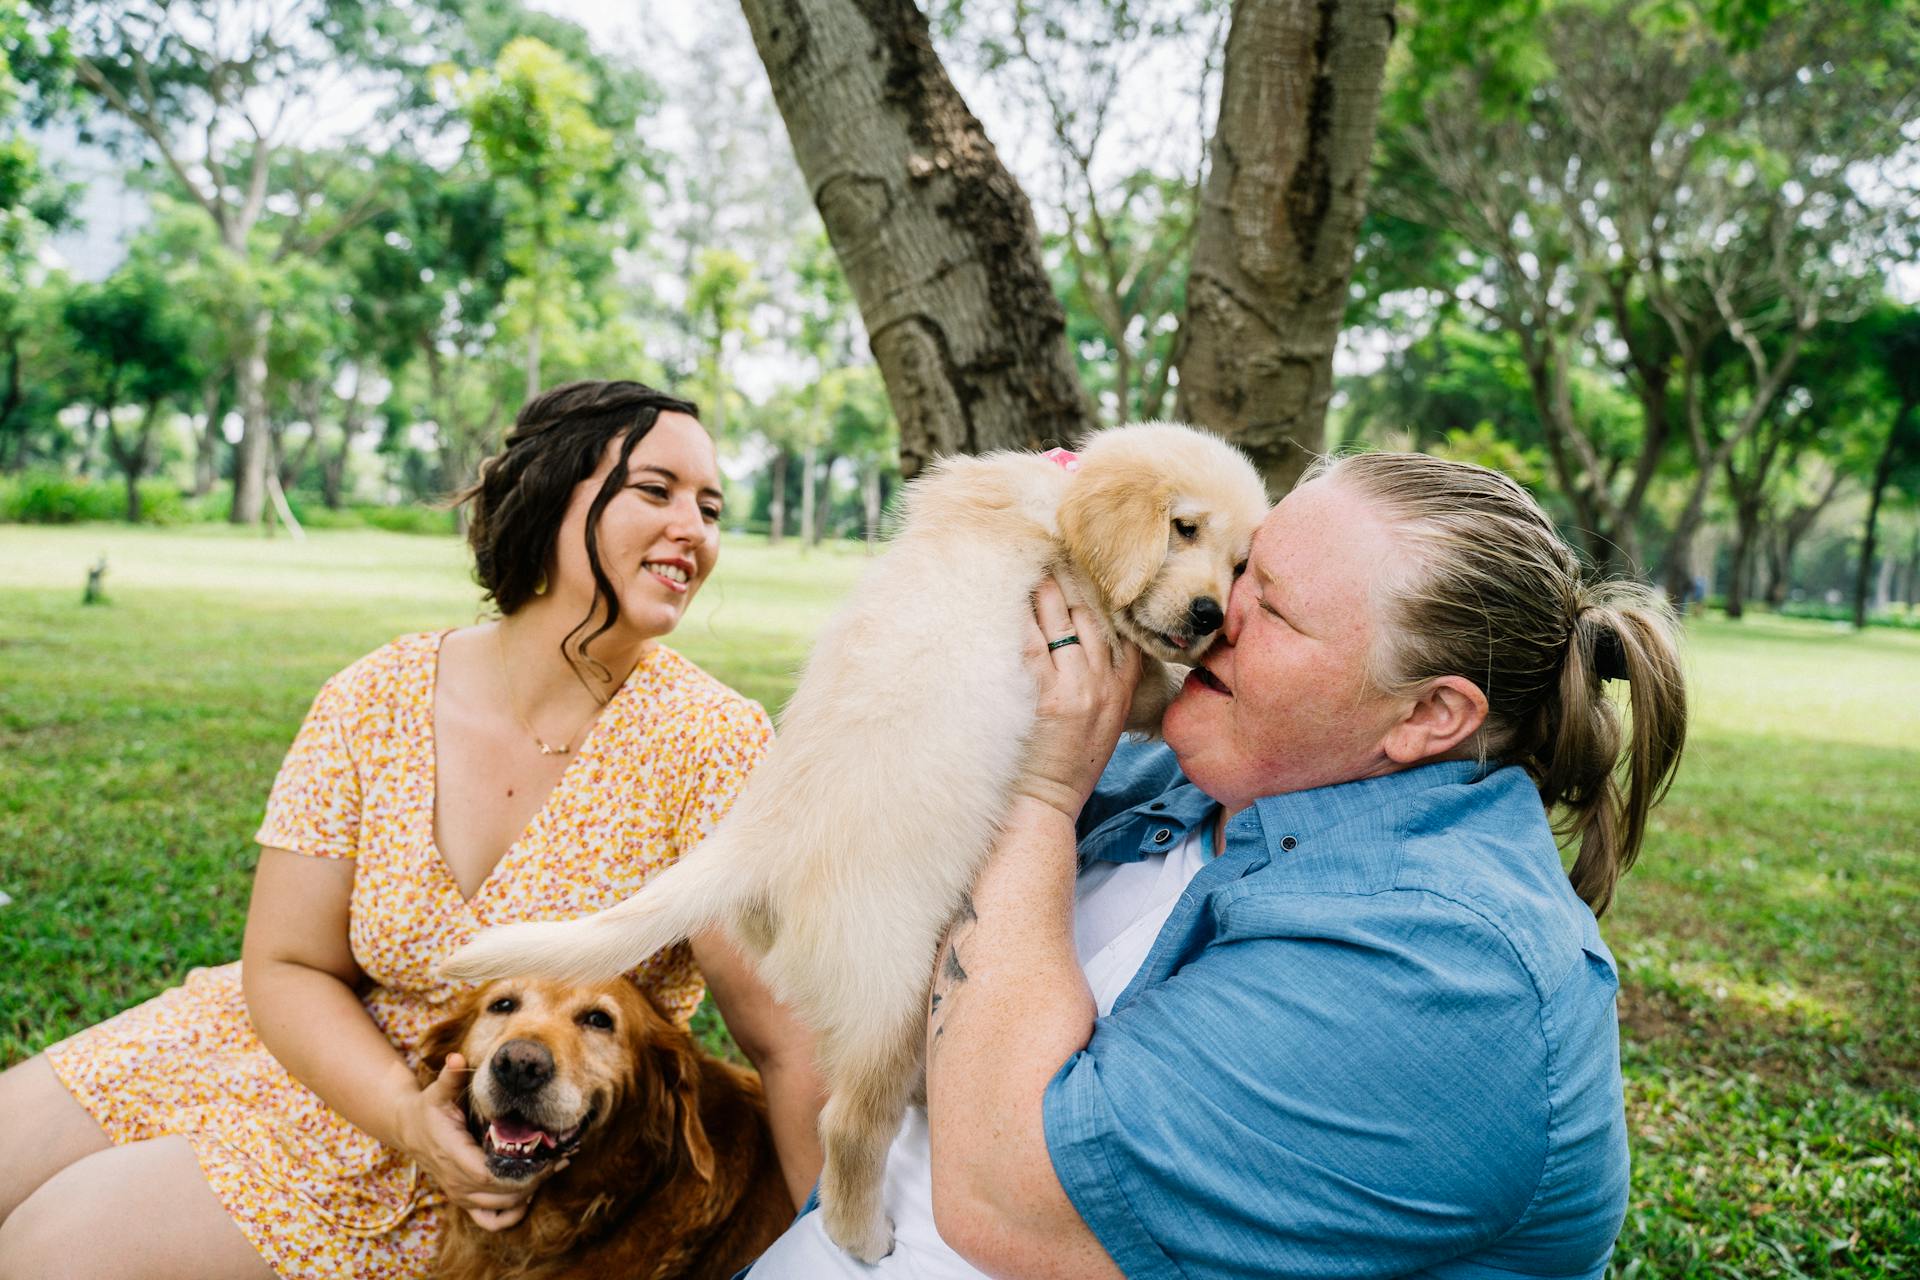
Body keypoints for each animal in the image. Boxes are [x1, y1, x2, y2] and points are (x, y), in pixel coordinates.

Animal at [441, 422, 1267, 1258]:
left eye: (1241, 565)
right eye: (1183, 528)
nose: (1211, 616)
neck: (1057, 509)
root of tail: (757, 839)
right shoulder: (1097, 632)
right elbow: (1157, 687)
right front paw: (1188, 687)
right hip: (890, 994)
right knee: (846, 1124)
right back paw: (863, 1236)